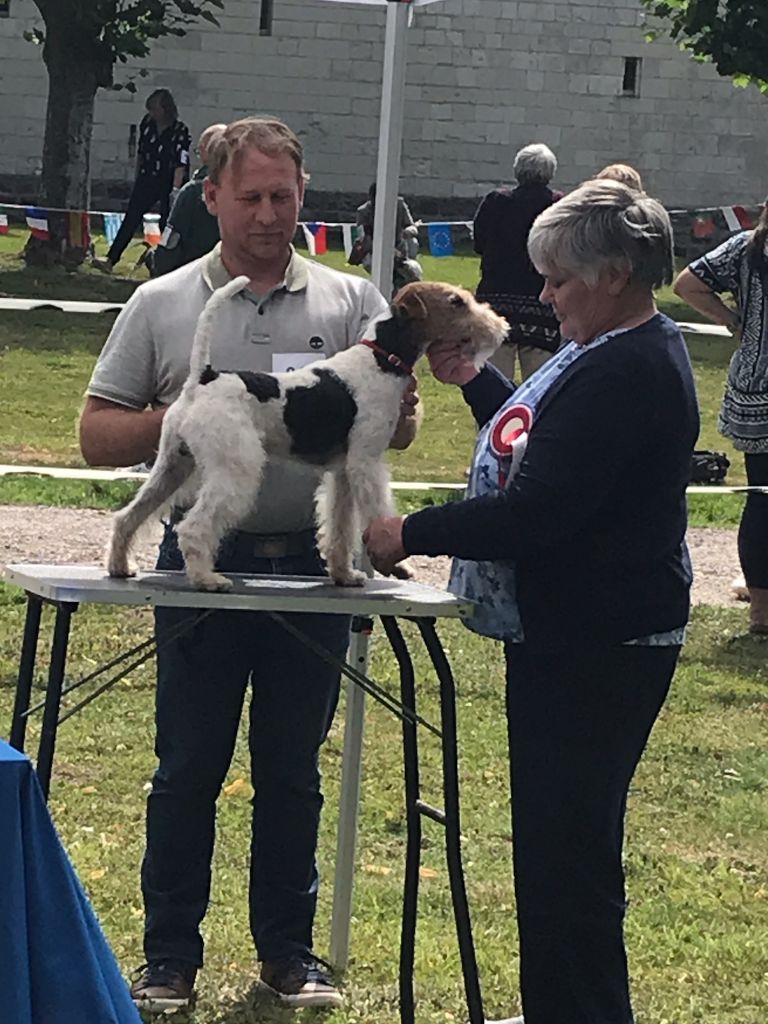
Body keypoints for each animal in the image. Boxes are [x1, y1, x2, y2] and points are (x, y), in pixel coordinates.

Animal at [105, 276, 507, 593]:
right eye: (456, 302)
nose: (501, 327)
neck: (381, 358)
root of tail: (202, 379)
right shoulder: (366, 462)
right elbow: (378, 512)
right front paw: (398, 563)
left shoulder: (343, 471)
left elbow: (340, 527)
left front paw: (345, 575)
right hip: (234, 467)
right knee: (193, 527)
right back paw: (207, 579)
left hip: (172, 465)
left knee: (128, 516)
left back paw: (120, 566)